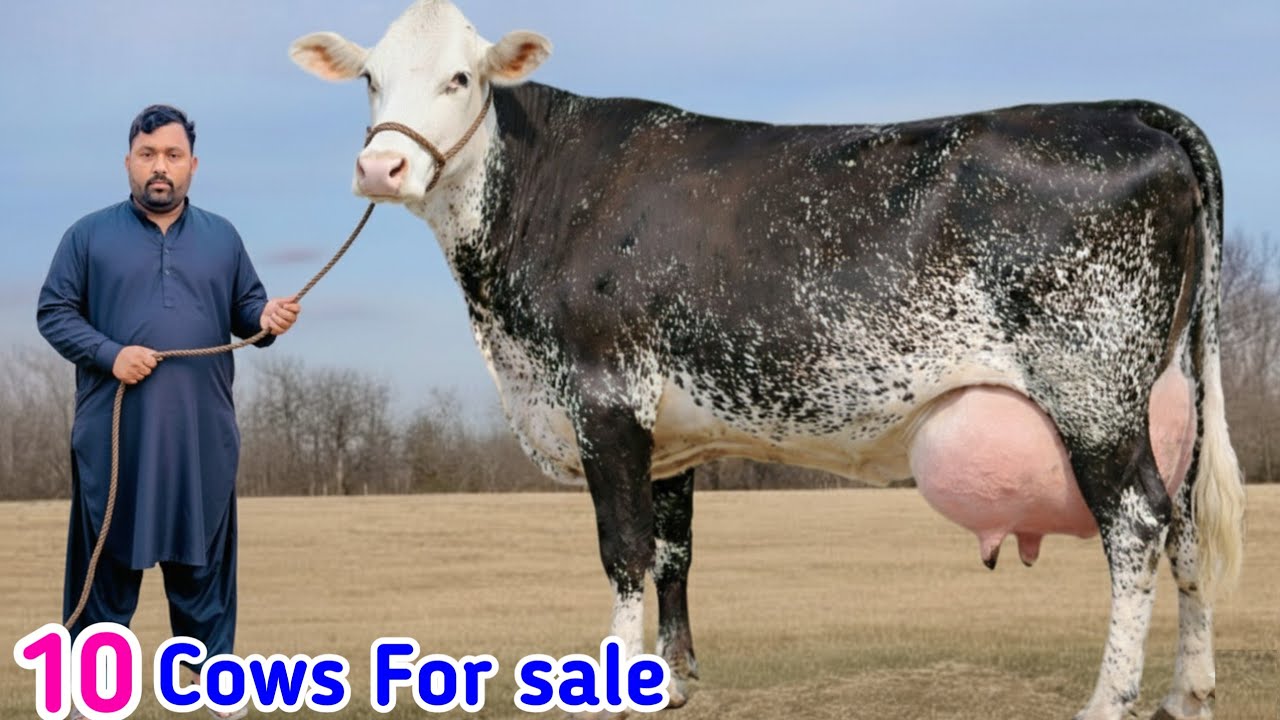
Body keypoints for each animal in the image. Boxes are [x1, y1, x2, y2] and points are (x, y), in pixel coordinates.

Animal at [289, 2, 1246, 718]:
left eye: (462, 77)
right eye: (372, 78)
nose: (381, 166)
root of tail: (1124, 110)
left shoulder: (604, 397)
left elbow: (623, 549)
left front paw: (615, 688)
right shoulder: (667, 430)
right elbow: (673, 551)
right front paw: (671, 681)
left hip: (1092, 389)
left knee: (1136, 524)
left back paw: (1109, 698)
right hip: (1169, 389)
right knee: (1185, 521)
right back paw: (1188, 691)